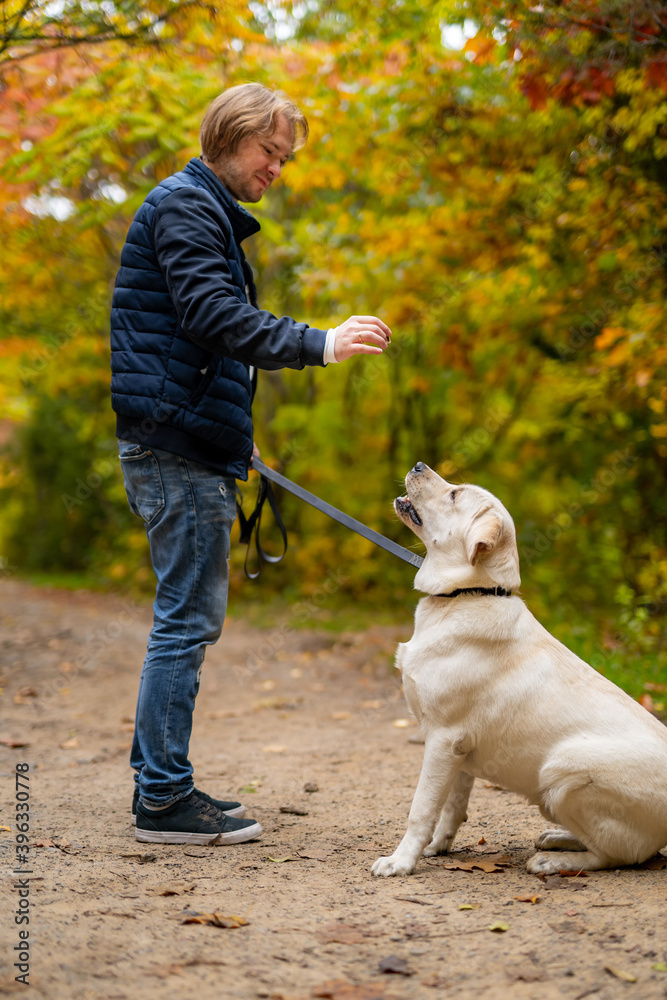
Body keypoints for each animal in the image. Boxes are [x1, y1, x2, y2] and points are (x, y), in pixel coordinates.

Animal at [374, 460, 667, 876]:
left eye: (454, 494)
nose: (417, 464)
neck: (465, 595)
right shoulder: (459, 752)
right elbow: (452, 807)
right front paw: (437, 847)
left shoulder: (443, 738)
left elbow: (421, 808)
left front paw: (400, 862)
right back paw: (557, 838)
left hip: (562, 770)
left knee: (620, 855)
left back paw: (552, 861)